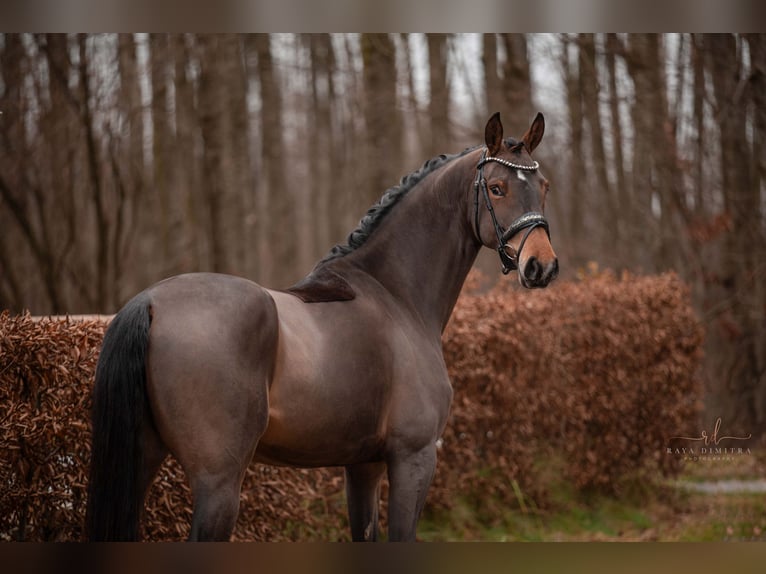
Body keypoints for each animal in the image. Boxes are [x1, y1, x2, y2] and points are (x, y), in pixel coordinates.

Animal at [87, 112, 560, 544]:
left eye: (544, 187)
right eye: (496, 188)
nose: (542, 266)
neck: (395, 296)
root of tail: (148, 303)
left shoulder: (363, 466)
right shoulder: (414, 458)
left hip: (142, 462)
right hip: (218, 483)